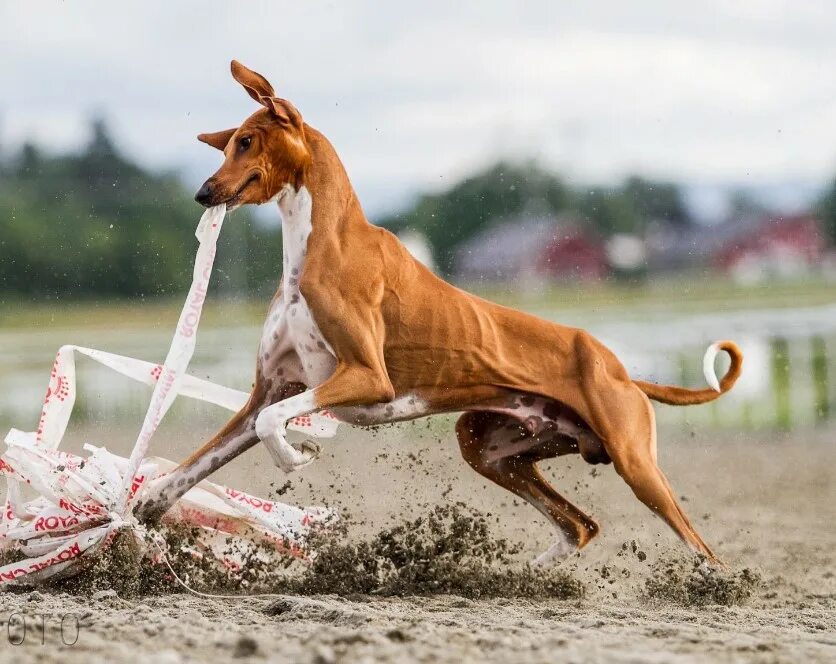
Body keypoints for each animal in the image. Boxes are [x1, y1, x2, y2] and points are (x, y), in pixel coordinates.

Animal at [139, 61, 744, 564]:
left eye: (245, 142)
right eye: (225, 147)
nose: (202, 192)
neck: (317, 247)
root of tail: (620, 369)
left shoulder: (366, 377)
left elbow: (274, 426)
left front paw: (296, 456)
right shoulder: (268, 392)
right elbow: (189, 469)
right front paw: (140, 512)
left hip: (635, 464)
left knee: (698, 547)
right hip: (488, 448)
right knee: (581, 527)